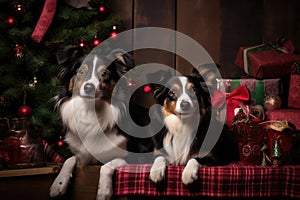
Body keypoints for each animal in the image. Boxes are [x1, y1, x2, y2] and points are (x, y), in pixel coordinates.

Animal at [50, 48, 152, 200]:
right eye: (80, 71)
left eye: (104, 73)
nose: (89, 88)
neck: (91, 112)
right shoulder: (84, 158)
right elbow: (68, 159)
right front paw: (59, 184)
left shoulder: (139, 155)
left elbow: (107, 165)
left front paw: (104, 190)